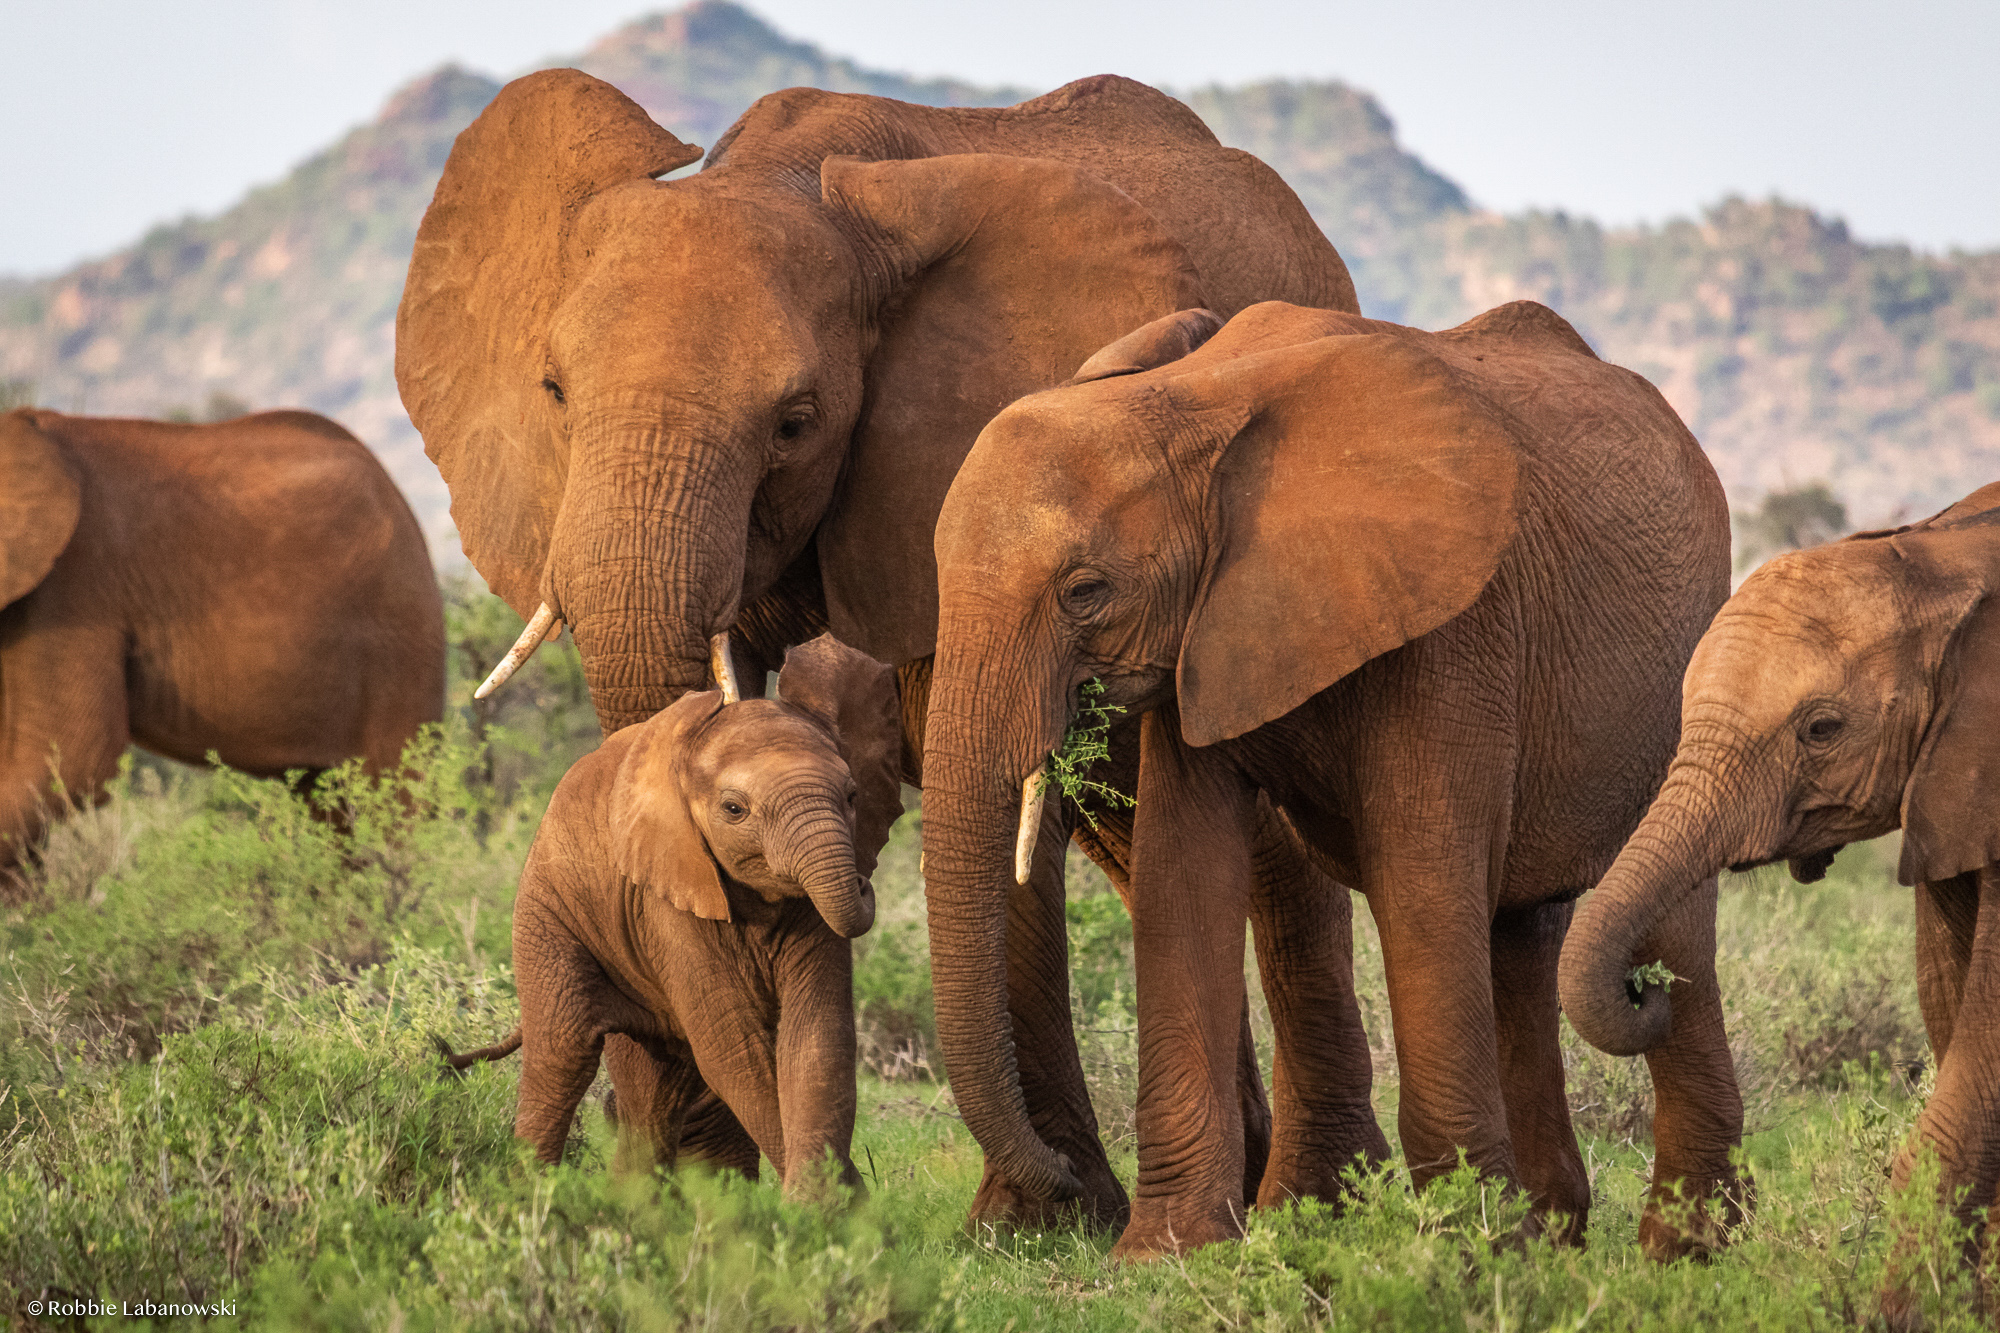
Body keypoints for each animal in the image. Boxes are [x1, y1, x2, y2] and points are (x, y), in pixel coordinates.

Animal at [443, 635, 904, 1195]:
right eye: (734, 810)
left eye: (854, 796)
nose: (862, 882)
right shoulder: (665, 897)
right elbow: (732, 1050)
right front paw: (832, 1205)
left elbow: (816, 1037)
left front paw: (833, 1204)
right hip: (547, 909)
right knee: (562, 1053)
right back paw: (531, 1196)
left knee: (656, 1090)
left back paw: (630, 1204)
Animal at [919, 298, 1744, 1260]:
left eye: (1085, 591)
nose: (1056, 1180)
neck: (1191, 401)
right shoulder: (1203, 635)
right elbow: (1182, 878)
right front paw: (1167, 1252)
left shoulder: (1452, 621)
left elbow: (1422, 877)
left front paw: (1460, 1250)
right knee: (1522, 936)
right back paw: (1550, 1234)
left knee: (1668, 936)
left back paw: (1687, 1247)